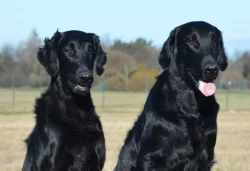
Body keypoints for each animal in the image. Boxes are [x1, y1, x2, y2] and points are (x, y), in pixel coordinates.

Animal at [114, 21, 228, 171]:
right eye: (191, 42)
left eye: (214, 41)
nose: (212, 69)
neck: (190, 107)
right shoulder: (150, 159)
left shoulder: (205, 158)